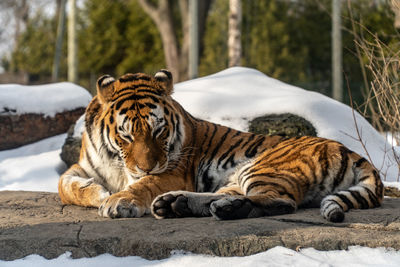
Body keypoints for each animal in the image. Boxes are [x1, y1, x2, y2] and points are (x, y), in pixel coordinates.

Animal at [57, 70, 382, 223]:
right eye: (126, 136)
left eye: (159, 130)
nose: (146, 166)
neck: (117, 163)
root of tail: (350, 151)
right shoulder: (83, 166)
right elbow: (65, 185)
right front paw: (98, 193)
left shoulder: (173, 171)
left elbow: (143, 184)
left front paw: (118, 200)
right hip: (239, 176)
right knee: (225, 196)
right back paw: (176, 204)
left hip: (264, 167)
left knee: (281, 201)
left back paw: (220, 209)